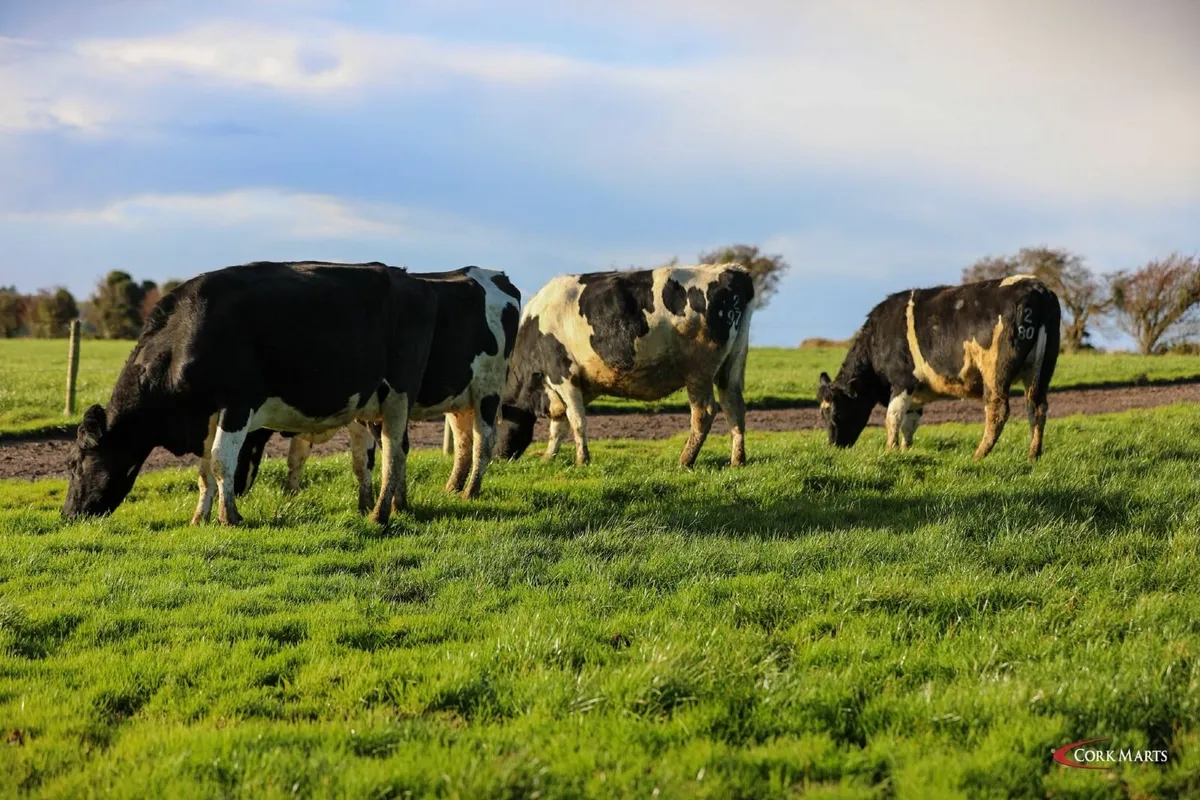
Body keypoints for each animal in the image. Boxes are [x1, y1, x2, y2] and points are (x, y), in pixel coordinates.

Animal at [62, 261, 438, 526]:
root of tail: (409, 279)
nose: (67, 514)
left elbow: (220, 461)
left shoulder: (237, 403)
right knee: (380, 452)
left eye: (73, 463)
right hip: (371, 402)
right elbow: (204, 471)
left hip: (399, 395)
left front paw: (229, 516)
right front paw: (200, 517)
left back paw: (380, 514)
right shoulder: (206, 416)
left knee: (394, 451)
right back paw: (382, 505)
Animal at [234, 266, 520, 501]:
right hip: (459, 398)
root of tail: (496, 275)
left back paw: (470, 492)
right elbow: (297, 456)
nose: (236, 491)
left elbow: (367, 458)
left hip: (488, 389)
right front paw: (290, 494)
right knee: (463, 440)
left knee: (483, 439)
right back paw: (452, 487)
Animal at [497, 263, 755, 468]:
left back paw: (685, 460)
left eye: (497, 422)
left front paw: (582, 460)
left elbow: (576, 420)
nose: (499, 457)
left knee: (704, 412)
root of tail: (731, 270)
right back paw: (737, 461)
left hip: (698, 371)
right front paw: (548, 457)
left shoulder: (562, 374)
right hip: (731, 367)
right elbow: (558, 426)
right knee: (734, 407)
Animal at [817, 275, 1061, 461]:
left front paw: (890, 450)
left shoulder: (902, 381)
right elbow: (910, 423)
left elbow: (893, 417)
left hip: (995, 371)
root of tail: (1036, 287)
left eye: (838, 412)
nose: (834, 446)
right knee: (1037, 408)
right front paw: (905, 450)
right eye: (822, 414)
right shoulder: (915, 392)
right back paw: (1033, 456)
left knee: (997, 410)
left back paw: (978, 455)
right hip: (1042, 369)